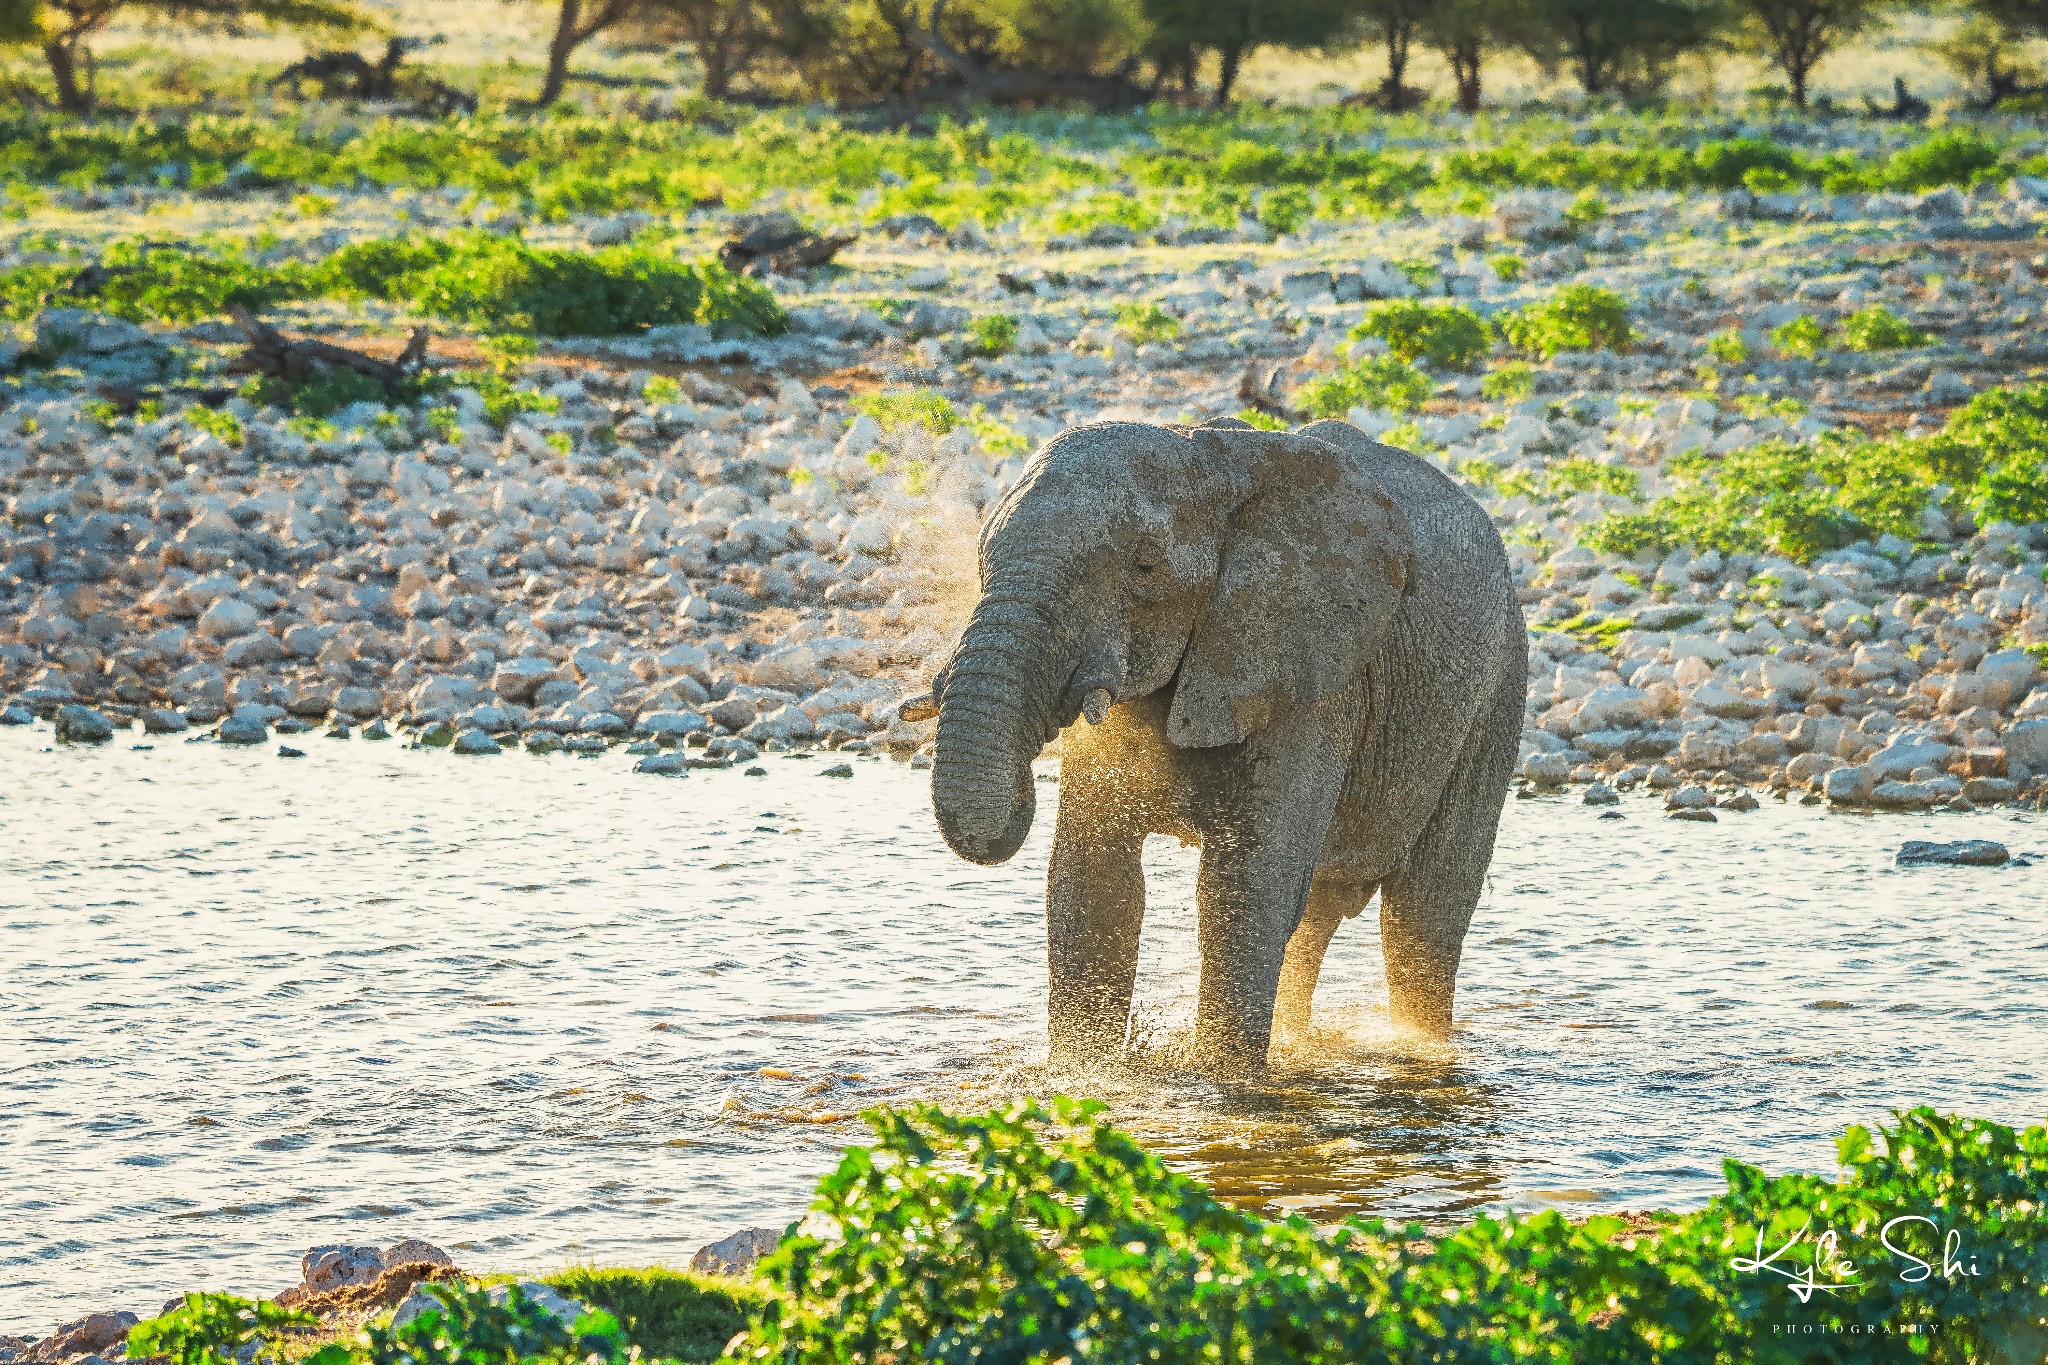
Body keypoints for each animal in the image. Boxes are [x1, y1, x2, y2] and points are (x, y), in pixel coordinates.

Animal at [905, 417, 1531, 1080]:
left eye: (1144, 568)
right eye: (981, 558)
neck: (1209, 459)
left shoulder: (1304, 677)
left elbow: (1245, 887)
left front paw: (1219, 1082)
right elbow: (1093, 881)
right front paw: (1084, 1077)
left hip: (1496, 689)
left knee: (1425, 911)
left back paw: (1424, 1051)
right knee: (1316, 911)